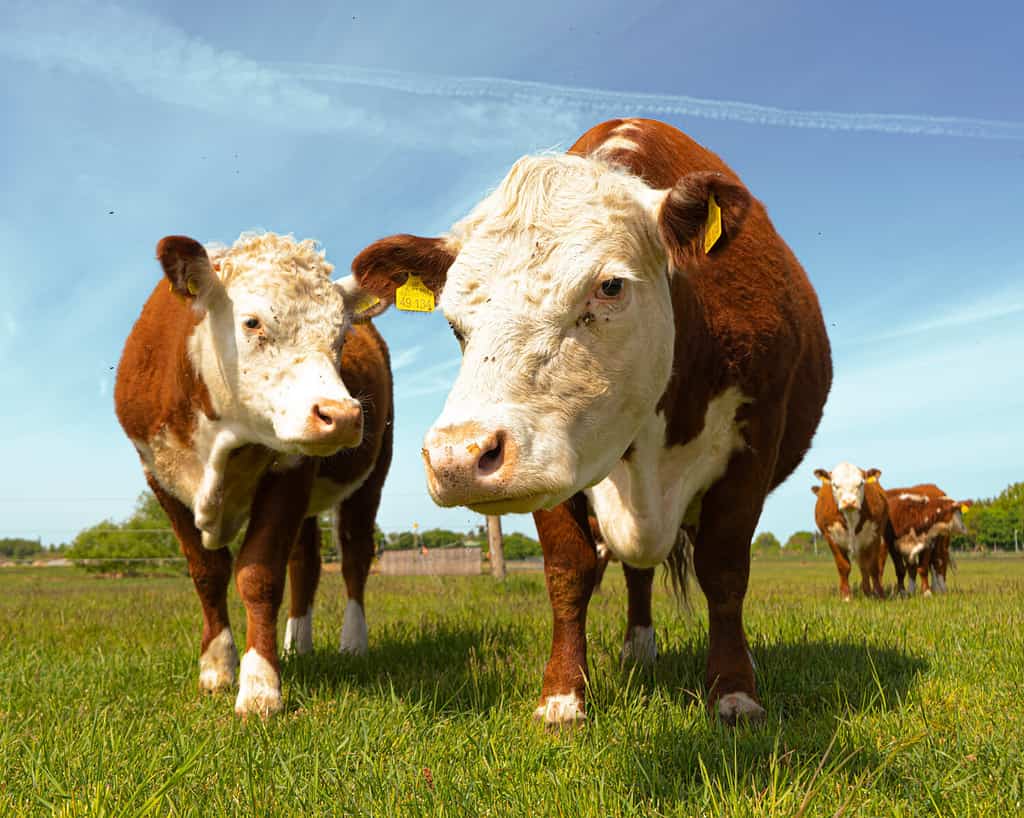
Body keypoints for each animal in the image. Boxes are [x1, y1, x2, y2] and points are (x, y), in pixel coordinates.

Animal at [114, 232, 393, 716]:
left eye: (342, 336)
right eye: (252, 323)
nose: (341, 415)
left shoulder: (292, 469)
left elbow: (259, 575)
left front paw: (260, 686)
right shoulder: (158, 475)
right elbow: (207, 572)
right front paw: (216, 667)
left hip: (372, 475)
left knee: (355, 555)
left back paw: (353, 642)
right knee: (306, 563)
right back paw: (297, 644)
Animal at [352, 118, 831, 724]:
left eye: (610, 286)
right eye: (454, 321)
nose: (458, 456)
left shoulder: (755, 439)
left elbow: (724, 571)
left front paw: (735, 692)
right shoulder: (549, 459)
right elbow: (569, 572)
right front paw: (562, 697)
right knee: (635, 570)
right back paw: (638, 648)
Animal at [806, 466, 888, 601]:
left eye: (861, 483)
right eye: (834, 485)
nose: (849, 501)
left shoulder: (875, 535)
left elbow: (873, 566)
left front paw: (878, 595)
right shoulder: (831, 537)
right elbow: (843, 566)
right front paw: (846, 596)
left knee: (866, 566)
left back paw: (868, 592)